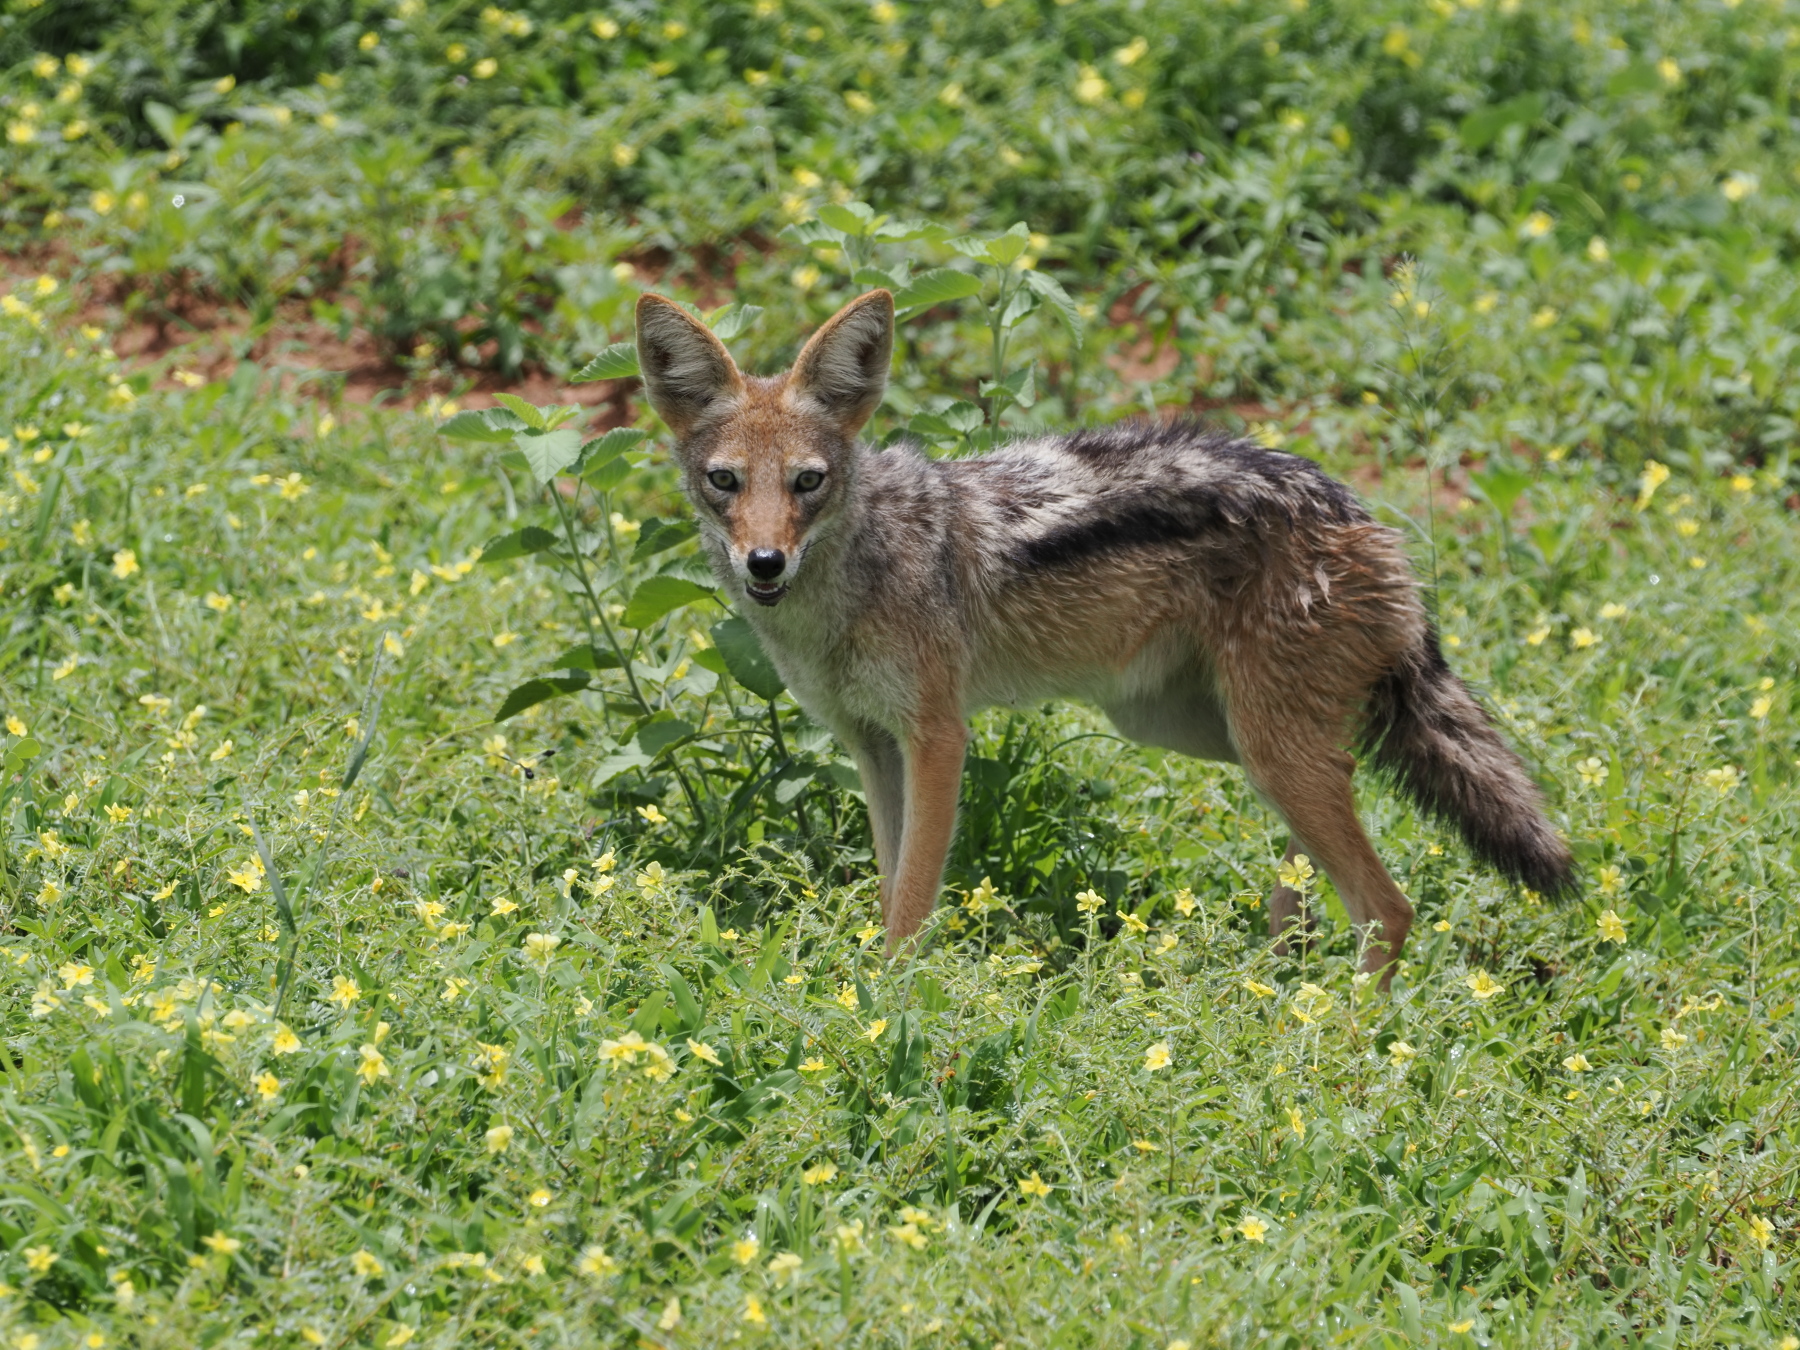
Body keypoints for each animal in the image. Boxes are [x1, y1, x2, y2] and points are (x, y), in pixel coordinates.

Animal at [633, 288, 1575, 980]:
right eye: (724, 482)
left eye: (809, 482)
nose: (764, 563)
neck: (852, 580)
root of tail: (1356, 509)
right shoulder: (873, 746)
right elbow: (890, 885)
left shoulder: (938, 738)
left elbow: (909, 907)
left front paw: (886, 1008)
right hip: (1219, 737)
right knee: (1317, 868)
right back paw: (1274, 994)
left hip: (1262, 745)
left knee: (1388, 907)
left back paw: (1331, 1044)